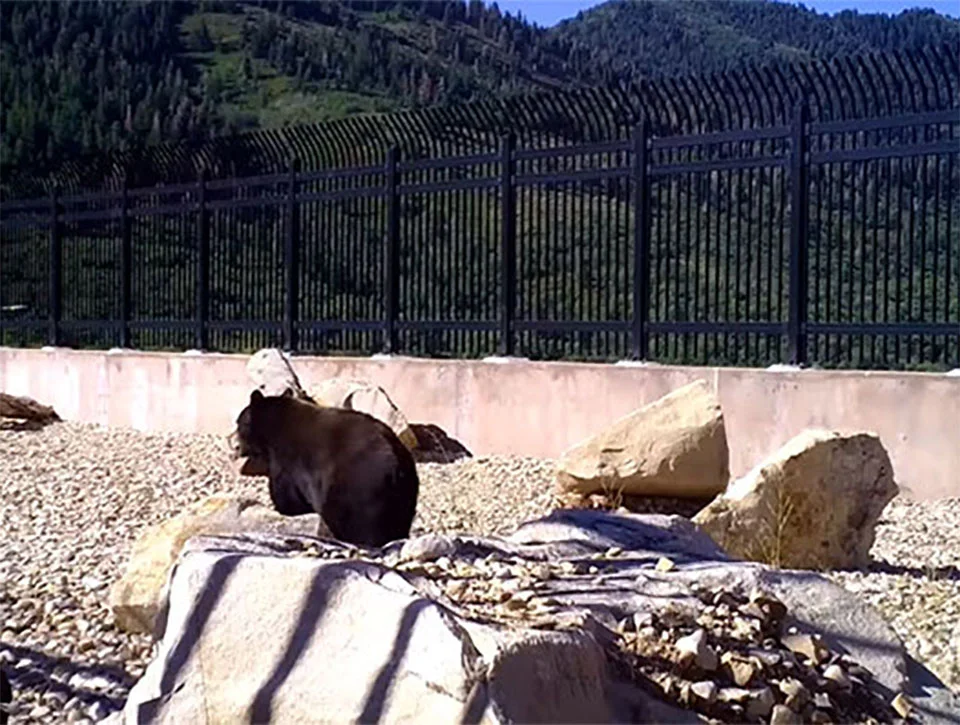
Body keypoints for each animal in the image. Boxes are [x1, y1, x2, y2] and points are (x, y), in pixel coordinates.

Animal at [233, 389, 419, 548]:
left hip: (357, 488)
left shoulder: (287, 461)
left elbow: (287, 496)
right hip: (406, 492)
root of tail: (396, 466)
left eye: (238, 423)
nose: (237, 446)